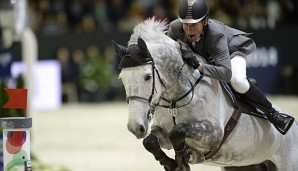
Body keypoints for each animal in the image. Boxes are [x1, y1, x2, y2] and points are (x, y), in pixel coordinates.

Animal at [111, 17, 298, 171]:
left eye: (147, 76)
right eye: (122, 78)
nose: (135, 127)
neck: (176, 99)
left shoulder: (214, 133)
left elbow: (178, 130)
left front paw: (183, 159)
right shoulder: (161, 132)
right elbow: (150, 141)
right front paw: (171, 163)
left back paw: (281, 120)